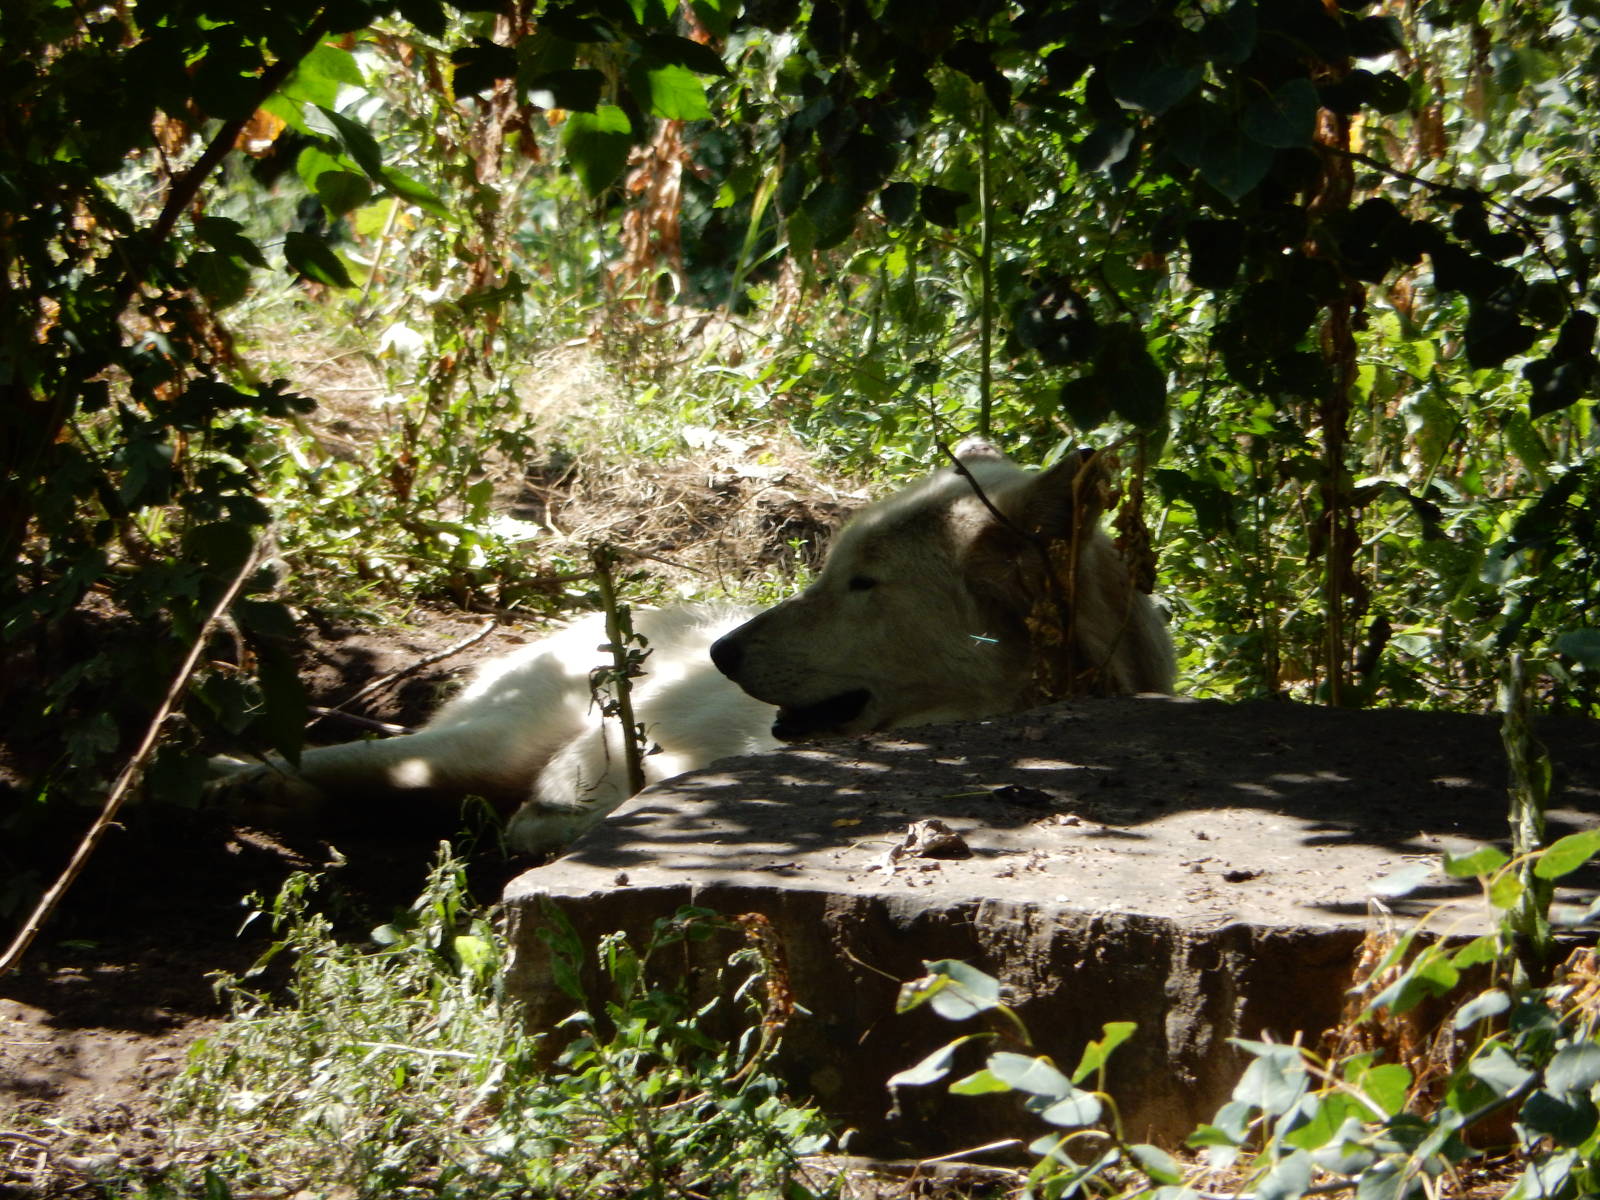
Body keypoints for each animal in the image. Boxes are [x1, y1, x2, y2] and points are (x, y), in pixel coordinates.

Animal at [214, 443, 1174, 853]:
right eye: (827, 570)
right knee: (359, 758)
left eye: (862, 584)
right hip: (475, 744)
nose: (721, 655)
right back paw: (227, 778)